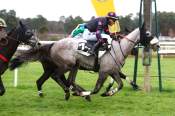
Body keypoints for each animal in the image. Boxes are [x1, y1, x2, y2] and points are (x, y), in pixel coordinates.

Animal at [9, 23, 159, 99]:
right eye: (147, 34)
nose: (157, 45)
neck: (118, 48)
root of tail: (53, 44)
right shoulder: (104, 72)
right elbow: (96, 89)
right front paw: (84, 93)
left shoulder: (113, 71)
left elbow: (121, 84)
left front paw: (109, 92)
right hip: (66, 65)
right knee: (57, 77)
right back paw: (70, 92)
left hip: (74, 66)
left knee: (68, 80)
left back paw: (70, 91)